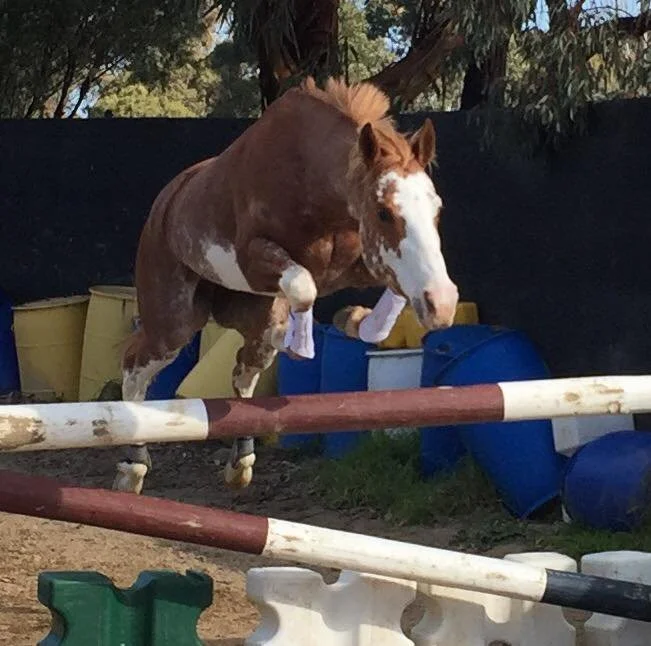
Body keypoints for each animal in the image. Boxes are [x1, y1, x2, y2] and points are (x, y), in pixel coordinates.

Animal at [113, 76, 459, 495]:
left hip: (250, 318)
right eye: (383, 212)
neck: (311, 181)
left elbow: (393, 288)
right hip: (173, 323)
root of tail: (165, 204)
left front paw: (358, 321)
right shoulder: (256, 259)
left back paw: (240, 462)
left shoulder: (364, 262)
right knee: (136, 364)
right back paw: (132, 466)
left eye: (437, 209)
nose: (443, 305)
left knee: (244, 367)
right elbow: (304, 285)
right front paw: (305, 345)